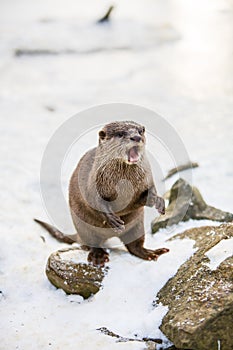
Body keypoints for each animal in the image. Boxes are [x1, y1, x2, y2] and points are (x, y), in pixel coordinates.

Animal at [34, 120, 168, 266]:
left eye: (140, 131)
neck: (124, 184)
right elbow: (95, 202)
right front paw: (113, 220)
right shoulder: (92, 185)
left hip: (137, 225)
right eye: (120, 134)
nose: (136, 137)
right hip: (84, 227)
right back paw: (98, 256)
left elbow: (147, 195)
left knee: (135, 245)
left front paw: (158, 201)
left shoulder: (147, 179)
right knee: (93, 243)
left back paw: (150, 253)